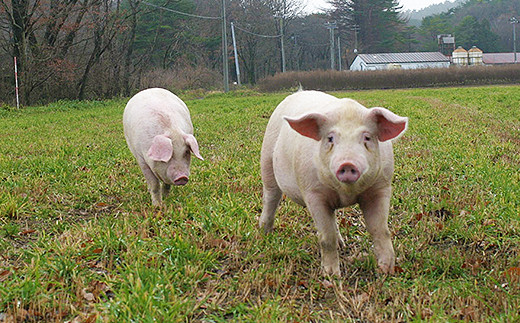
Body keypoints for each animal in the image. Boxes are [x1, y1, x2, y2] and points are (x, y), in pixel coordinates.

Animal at [258, 90, 406, 276]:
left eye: (367, 137)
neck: (346, 192)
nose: (347, 163)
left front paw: (387, 270)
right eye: (330, 138)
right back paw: (264, 234)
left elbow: (380, 230)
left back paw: (342, 245)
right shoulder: (313, 193)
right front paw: (331, 276)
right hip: (267, 160)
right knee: (270, 198)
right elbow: (326, 237)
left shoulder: (381, 187)